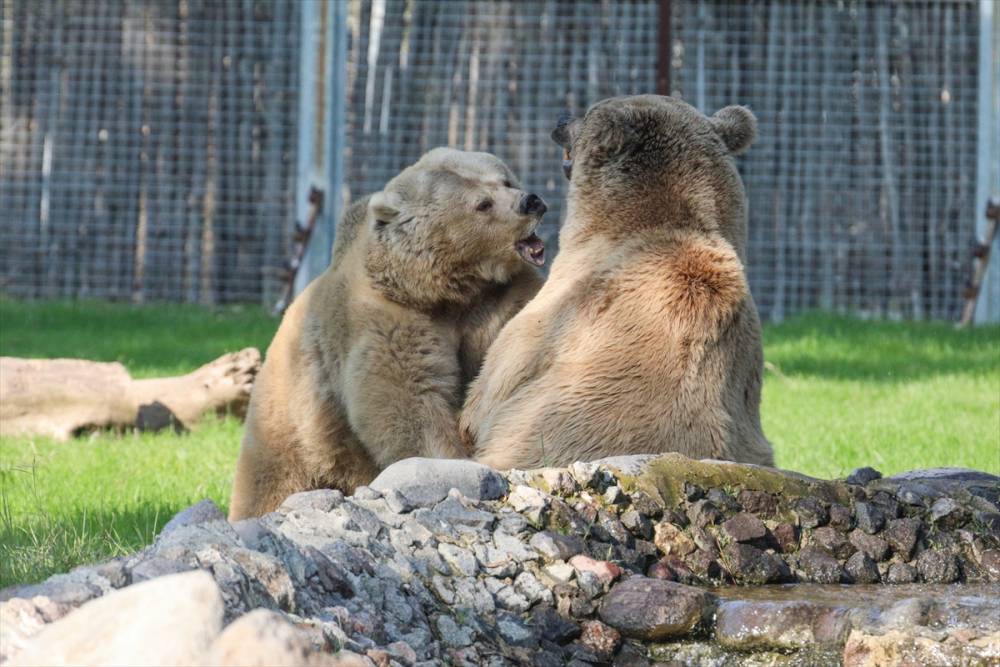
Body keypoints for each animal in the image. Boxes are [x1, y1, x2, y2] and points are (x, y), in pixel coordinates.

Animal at [229, 149, 548, 520]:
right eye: (482, 203)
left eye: (506, 180)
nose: (531, 201)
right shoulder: (386, 320)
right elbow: (408, 402)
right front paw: (454, 462)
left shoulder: (496, 301)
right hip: (291, 427)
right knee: (270, 483)